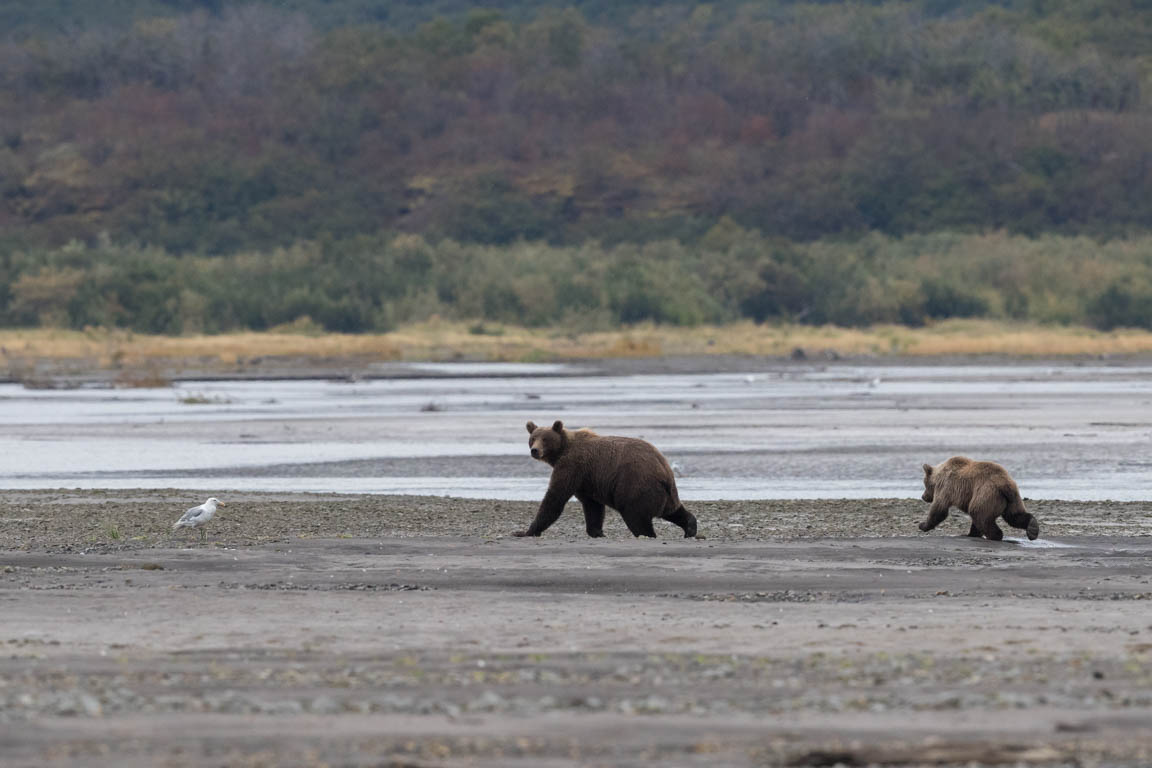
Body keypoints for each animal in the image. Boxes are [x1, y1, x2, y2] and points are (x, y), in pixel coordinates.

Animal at [516, 421, 695, 541]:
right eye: (533, 438)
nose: (535, 450)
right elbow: (592, 506)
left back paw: (647, 534)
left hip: (636, 485)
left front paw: (525, 531)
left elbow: (555, 497)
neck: (561, 451)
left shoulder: (572, 466)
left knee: (636, 517)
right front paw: (597, 532)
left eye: (545, 439)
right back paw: (690, 528)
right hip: (666, 493)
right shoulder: (587, 480)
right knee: (673, 510)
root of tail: (664, 470)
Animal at [916, 455, 1046, 541]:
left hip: (986, 494)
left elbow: (939, 508)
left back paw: (995, 535)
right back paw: (1032, 529)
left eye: (924, 483)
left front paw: (922, 525)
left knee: (979, 514)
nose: (923, 496)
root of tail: (1004, 484)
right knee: (1014, 516)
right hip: (1012, 497)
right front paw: (972, 533)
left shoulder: (946, 486)